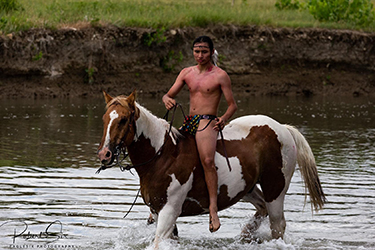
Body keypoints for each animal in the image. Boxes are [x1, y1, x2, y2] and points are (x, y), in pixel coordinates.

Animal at [97, 91, 326, 245]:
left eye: (123, 120)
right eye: (105, 118)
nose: (104, 154)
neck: (162, 155)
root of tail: (283, 128)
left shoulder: (169, 211)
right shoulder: (158, 211)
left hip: (275, 191)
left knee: (277, 225)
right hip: (247, 188)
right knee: (262, 208)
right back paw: (245, 235)